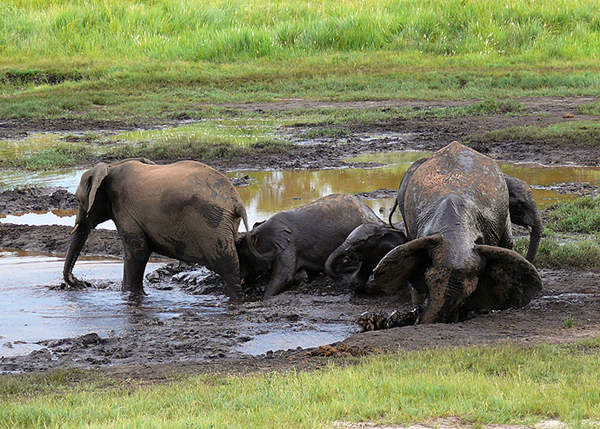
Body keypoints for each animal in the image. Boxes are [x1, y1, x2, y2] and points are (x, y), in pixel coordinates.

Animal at [63, 157, 253, 298]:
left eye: (78, 200)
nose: (82, 283)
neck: (111, 167)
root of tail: (236, 200)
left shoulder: (125, 210)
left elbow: (138, 250)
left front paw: (129, 295)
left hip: (212, 224)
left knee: (228, 266)